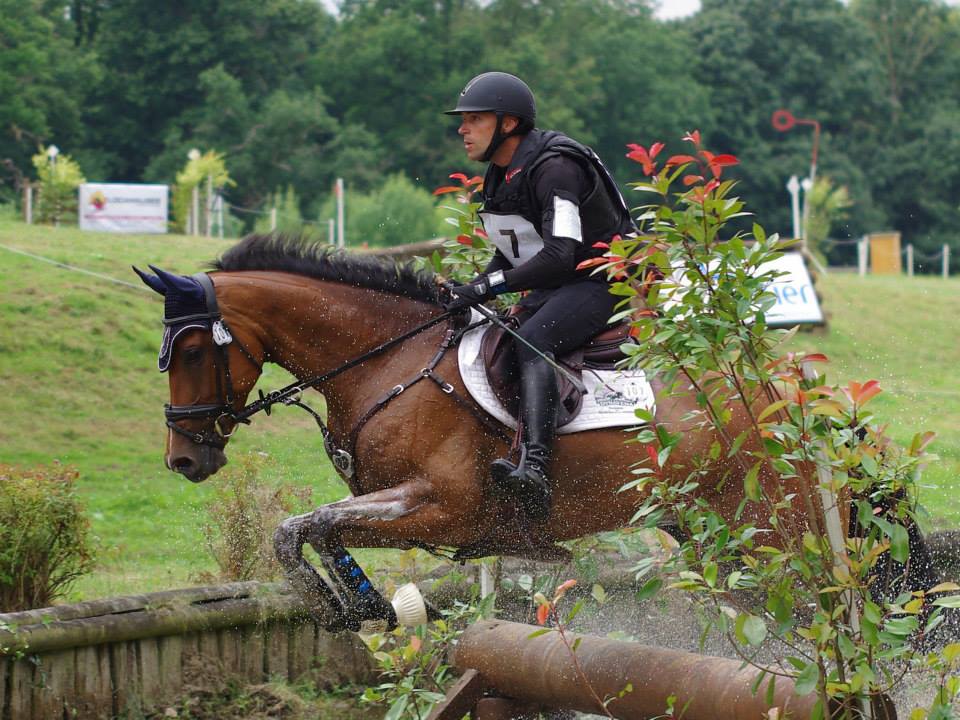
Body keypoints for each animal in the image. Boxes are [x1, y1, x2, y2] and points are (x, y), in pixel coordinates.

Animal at [131, 235, 928, 632]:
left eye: (193, 351)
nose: (182, 458)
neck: (388, 359)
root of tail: (793, 392)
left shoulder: (442, 505)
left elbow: (303, 527)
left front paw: (341, 607)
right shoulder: (402, 506)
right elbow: (311, 529)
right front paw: (361, 606)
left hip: (774, 534)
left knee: (838, 615)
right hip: (717, 541)